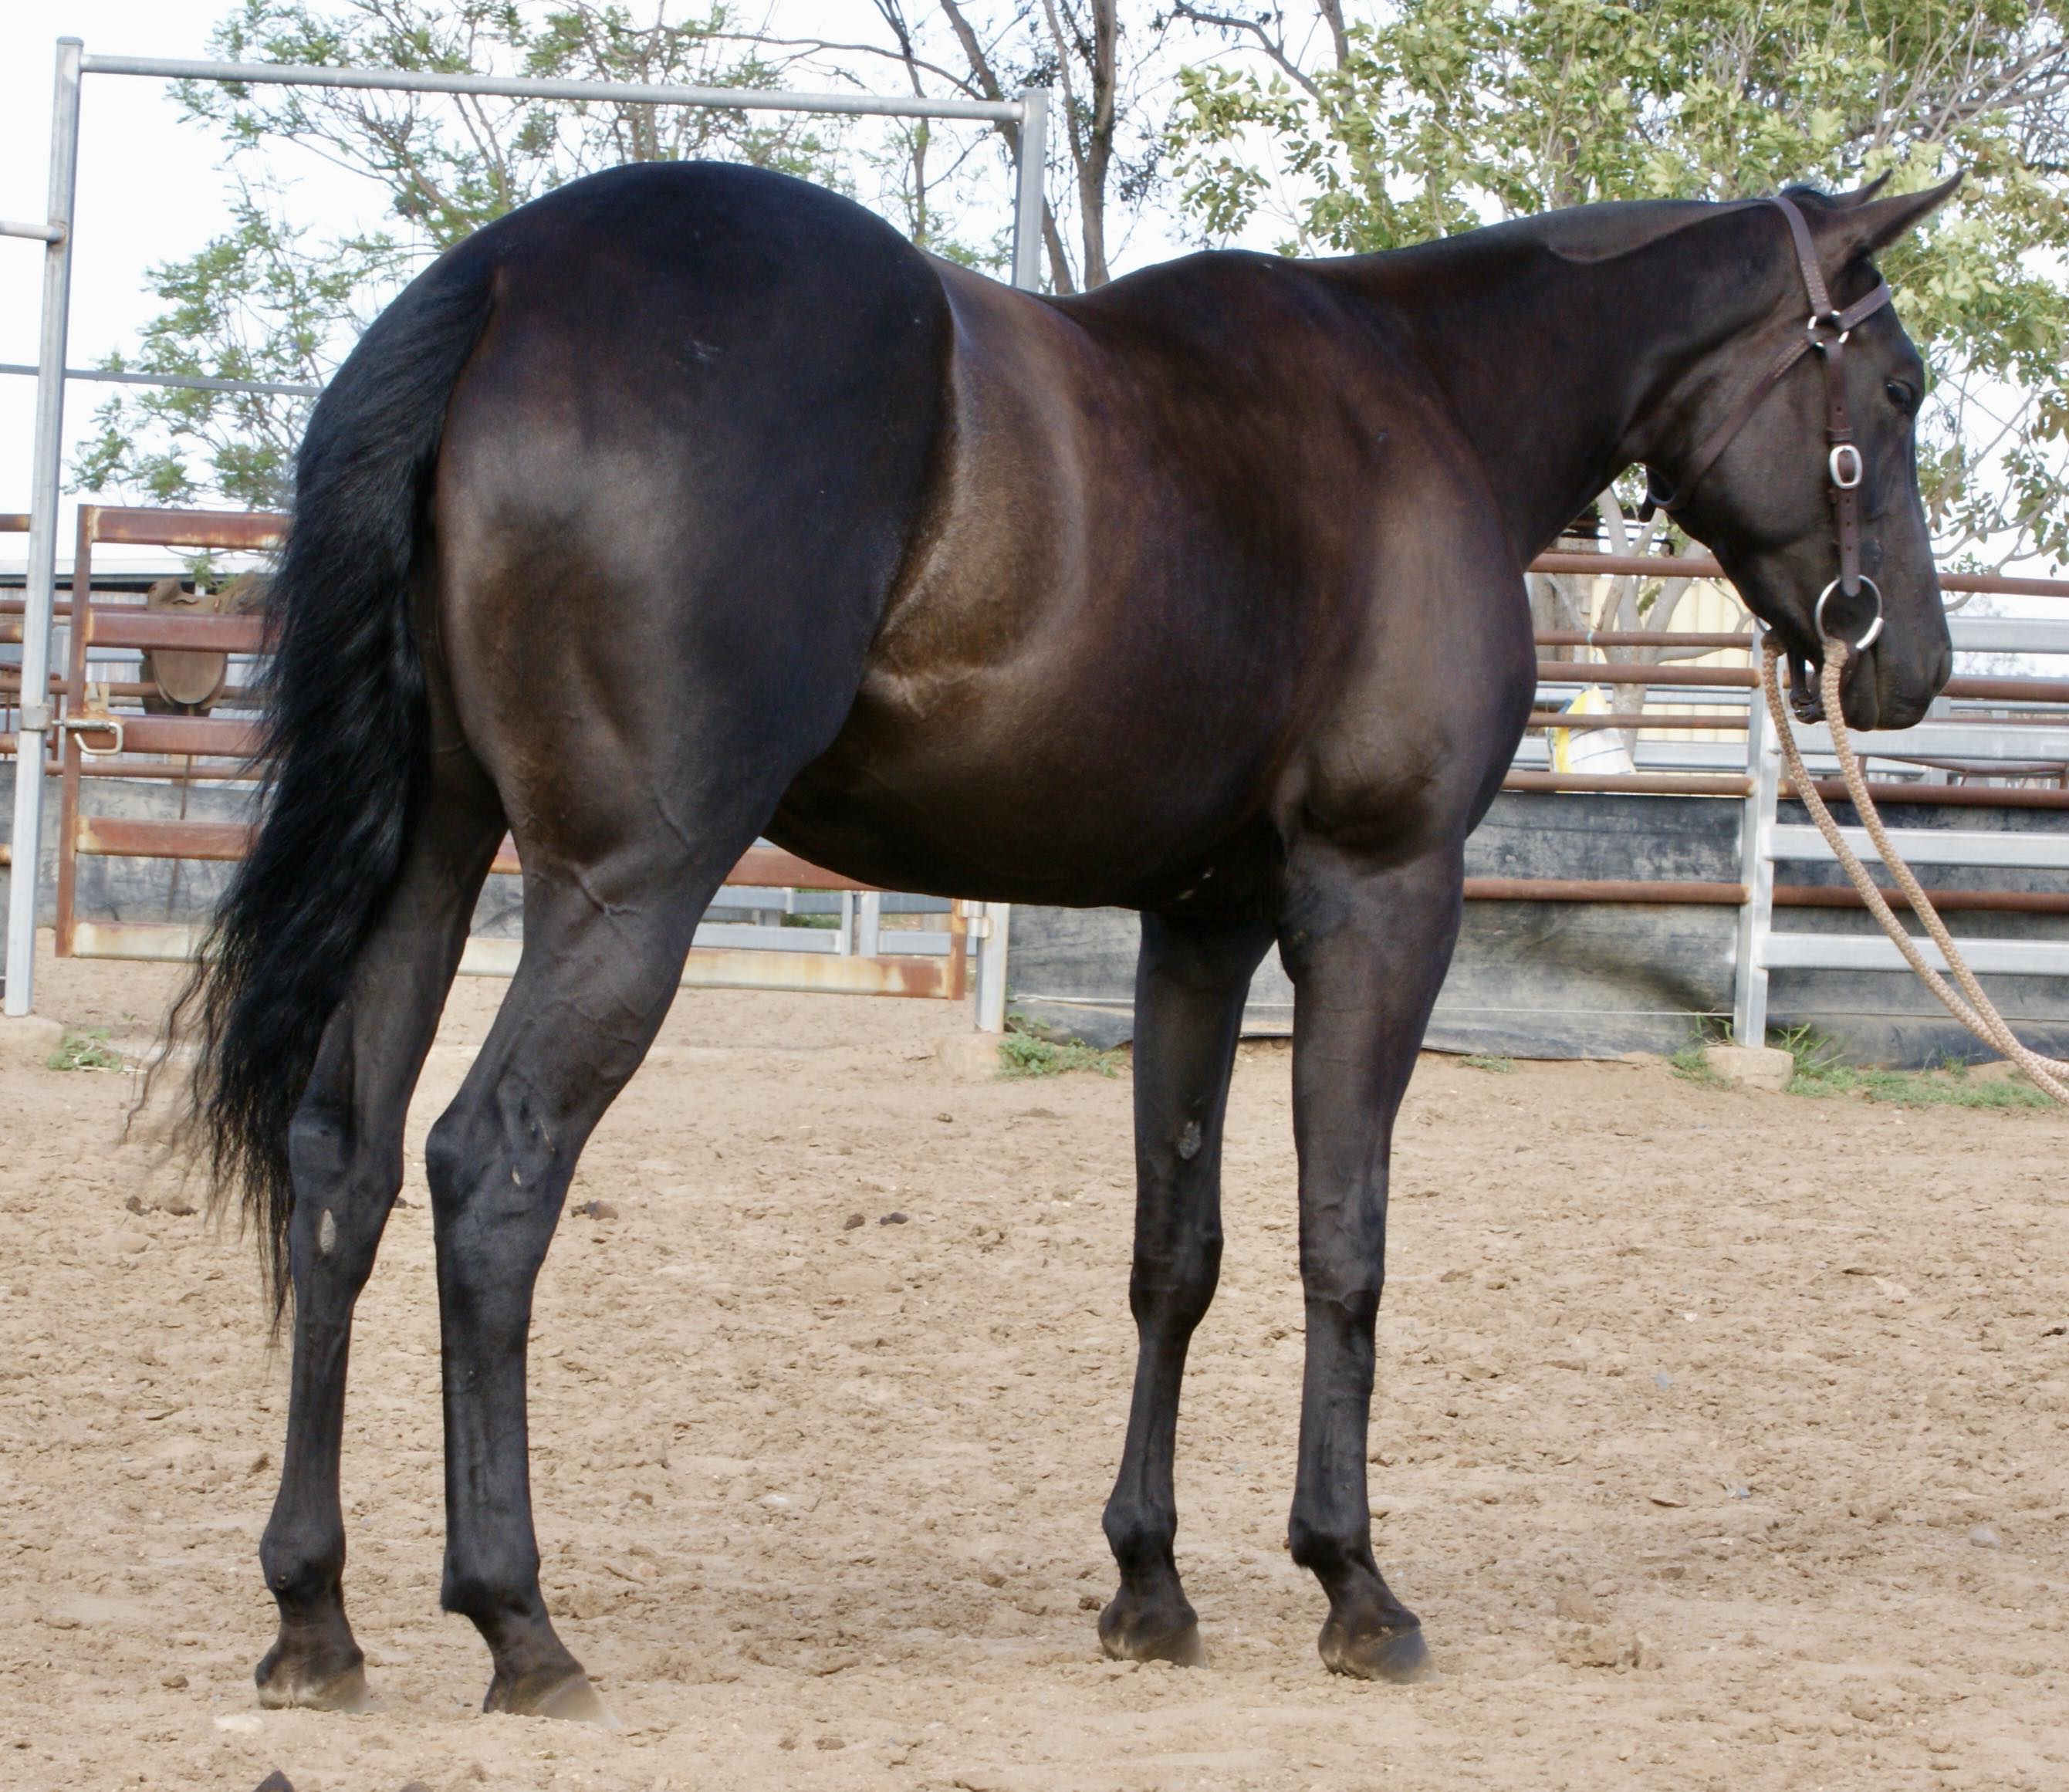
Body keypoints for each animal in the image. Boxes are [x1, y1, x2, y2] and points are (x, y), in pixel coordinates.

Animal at [169, 160, 1958, 1719]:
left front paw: (1148, 1587)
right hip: (625, 890)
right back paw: (518, 1624)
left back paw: (313, 1618)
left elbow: (1178, 1251)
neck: (1423, 399)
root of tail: (504, 280)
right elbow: (1344, 1238)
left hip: (428, 859)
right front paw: (1351, 1585)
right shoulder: (1379, 893)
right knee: (490, 1171)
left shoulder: (1201, 923)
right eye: (1898, 387)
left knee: (345, 1166)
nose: (1911, 664)